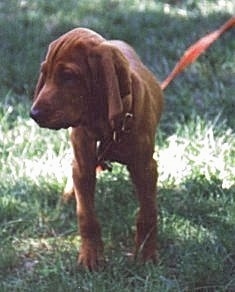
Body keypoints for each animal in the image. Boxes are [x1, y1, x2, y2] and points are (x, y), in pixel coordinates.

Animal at [30, 28, 163, 270]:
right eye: (45, 73)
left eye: (69, 76)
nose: (33, 114)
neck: (105, 125)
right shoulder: (83, 167)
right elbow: (87, 216)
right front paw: (91, 256)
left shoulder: (145, 168)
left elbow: (148, 214)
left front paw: (146, 254)